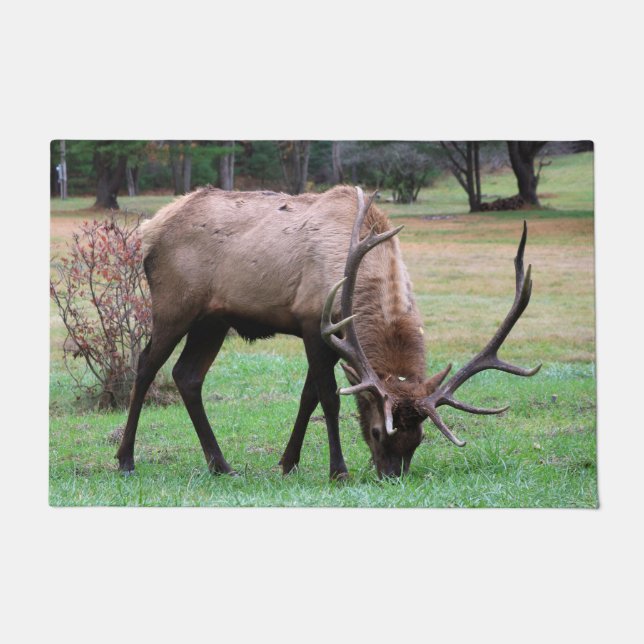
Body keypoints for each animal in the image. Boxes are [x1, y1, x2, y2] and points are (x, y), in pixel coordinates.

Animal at [116, 184, 540, 479]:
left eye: (418, 439)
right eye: (376, 432)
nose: (392, 476)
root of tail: (150, 228)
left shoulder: (331, 337)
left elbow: (308, 397)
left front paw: (288, 462)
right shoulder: (312, 321)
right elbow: (329, 398)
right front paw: (338, 469)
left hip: (213, 320)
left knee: (187, 375)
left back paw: (221, 465)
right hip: (174, 304)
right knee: (146, 366)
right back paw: (125, 459)